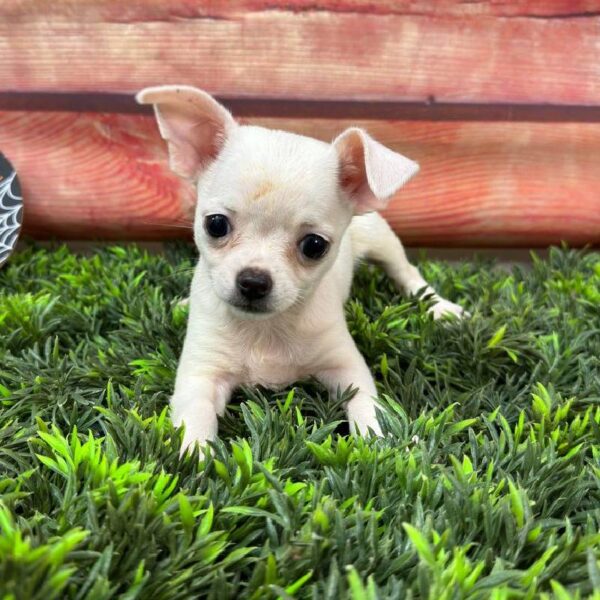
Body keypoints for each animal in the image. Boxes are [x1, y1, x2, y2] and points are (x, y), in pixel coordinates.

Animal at [136, 84, 464, 450]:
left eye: (314, 245)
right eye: (215, 225)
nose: (253, 281)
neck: (266, 329)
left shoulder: (346, 368)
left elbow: (368, 406)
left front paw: (380, 444)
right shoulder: (201, 375)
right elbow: (195, 422)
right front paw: (195, 454)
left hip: (382, 240)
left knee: (408, 274)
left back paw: (441, 308)